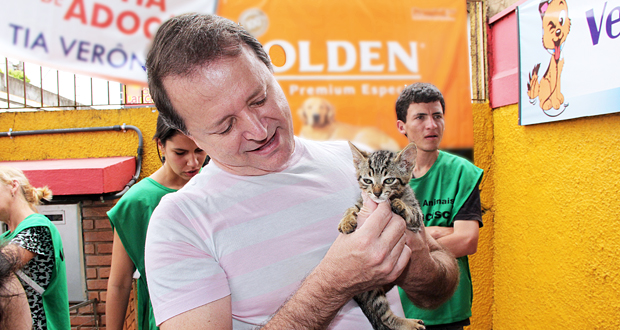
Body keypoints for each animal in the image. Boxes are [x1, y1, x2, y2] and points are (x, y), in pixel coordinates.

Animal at [340, 142, 426, 330]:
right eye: (367, 180)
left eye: (389, 180)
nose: (377, 192)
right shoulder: (361, 203)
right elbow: (352, 208)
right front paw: (346, 220)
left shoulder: (417, 218)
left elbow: (411, 212)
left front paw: (401, 205)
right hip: (371, 291)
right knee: (383, 317)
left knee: (385, 318)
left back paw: (408, 323)